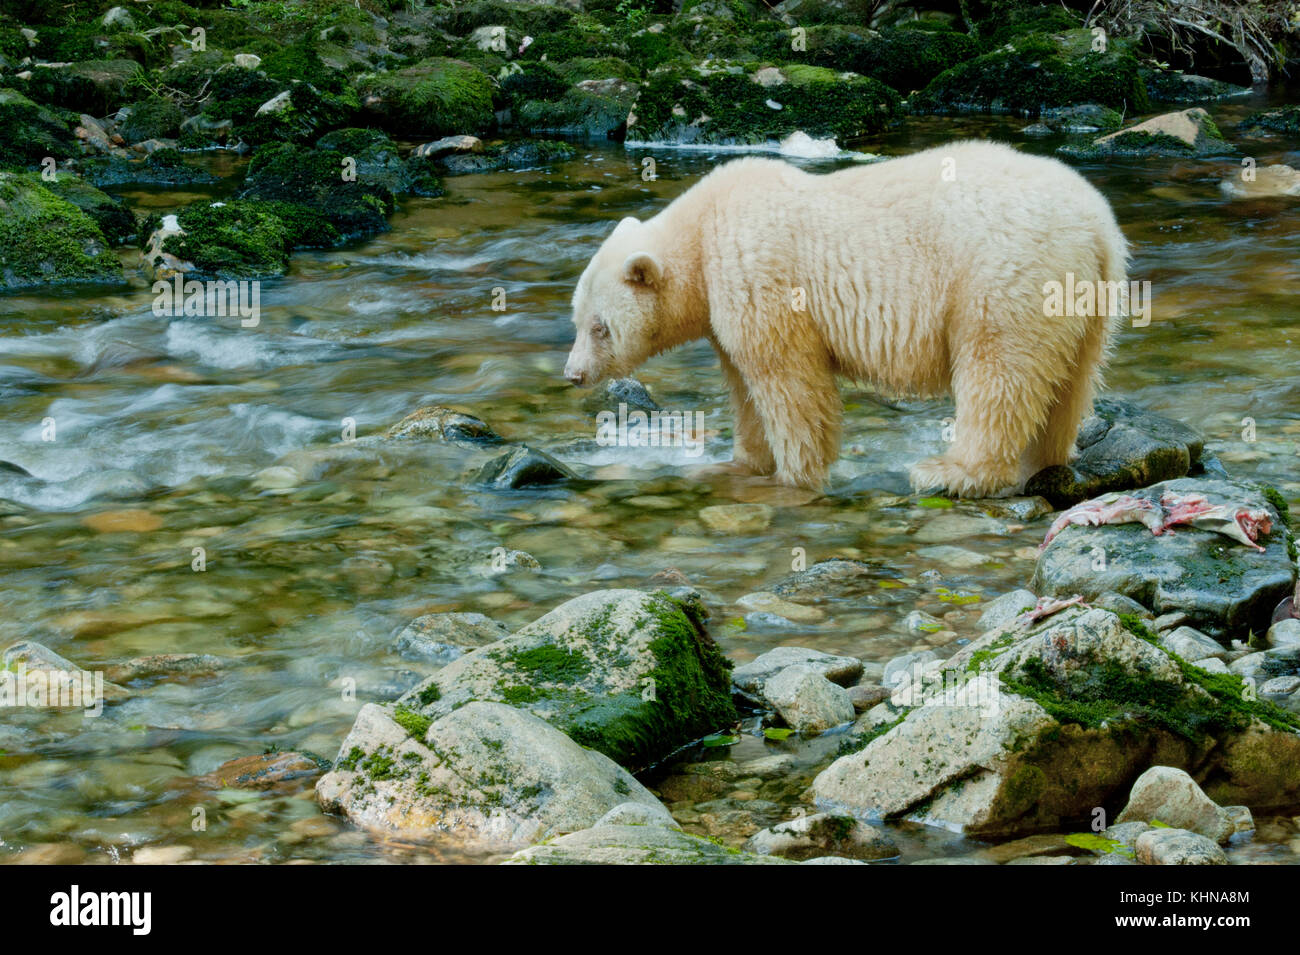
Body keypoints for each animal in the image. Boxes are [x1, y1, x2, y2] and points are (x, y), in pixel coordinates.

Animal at [561, 143, 1128, 501]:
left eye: (599, 326)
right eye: (576, 318)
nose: (573, 374)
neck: (701, 232)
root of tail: (1096, 222)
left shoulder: (759, 275)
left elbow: (788, 380)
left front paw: (794, 475)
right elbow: (744, 386)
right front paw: (740, 462)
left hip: (1003, 273)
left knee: (997, 370)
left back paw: (952, 472)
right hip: (1086, 298)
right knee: (1070, 381)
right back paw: (1042, 462)